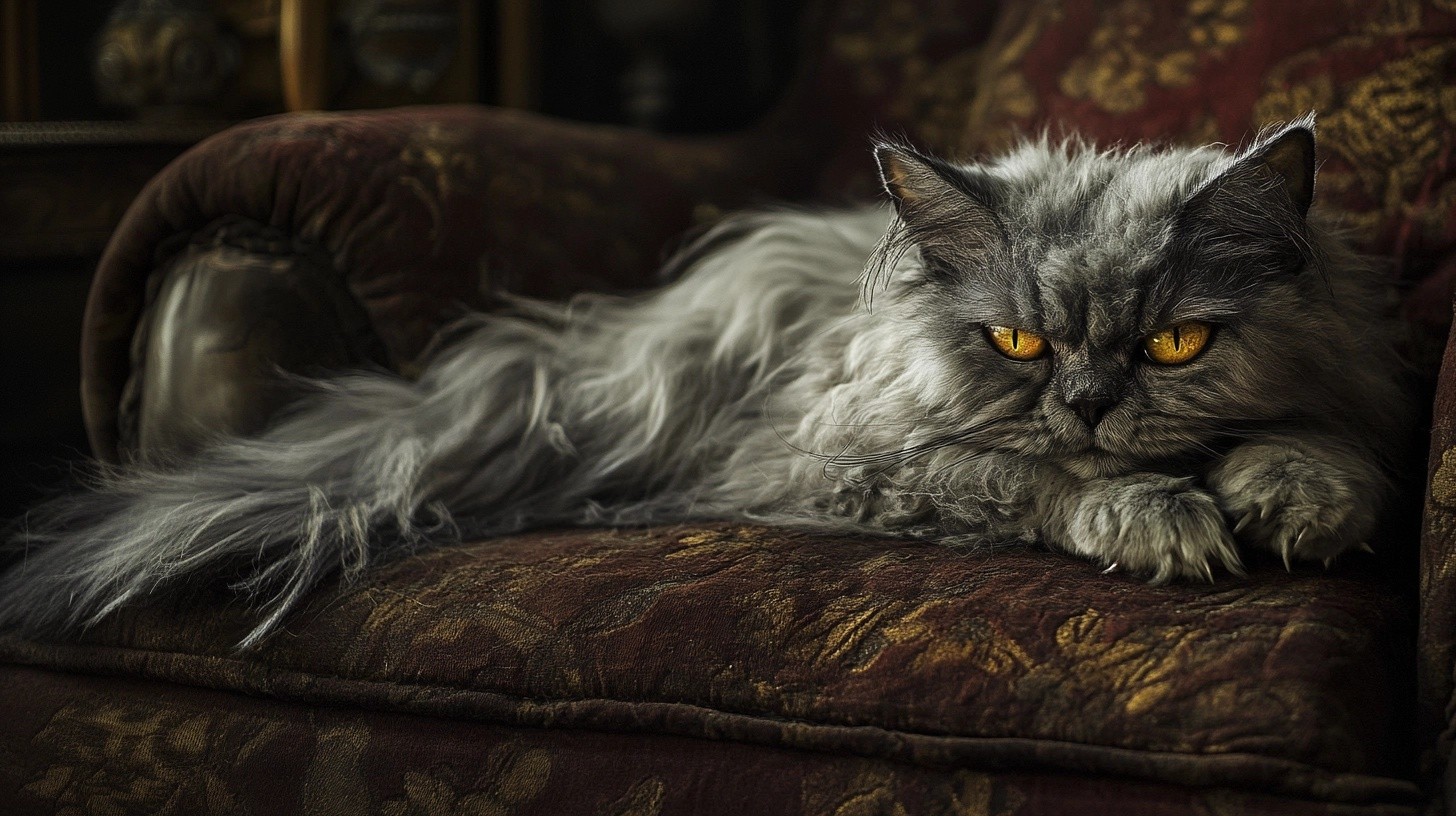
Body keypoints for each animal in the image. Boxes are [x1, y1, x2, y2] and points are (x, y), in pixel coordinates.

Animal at [0, 116, 1409, 649]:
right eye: (1018, 347)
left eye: (1174, 346)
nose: (1092, 404)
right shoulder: (850, 466)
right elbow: (1030, 480)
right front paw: (1157, 514)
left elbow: (1323, 444)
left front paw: (1298, 498)